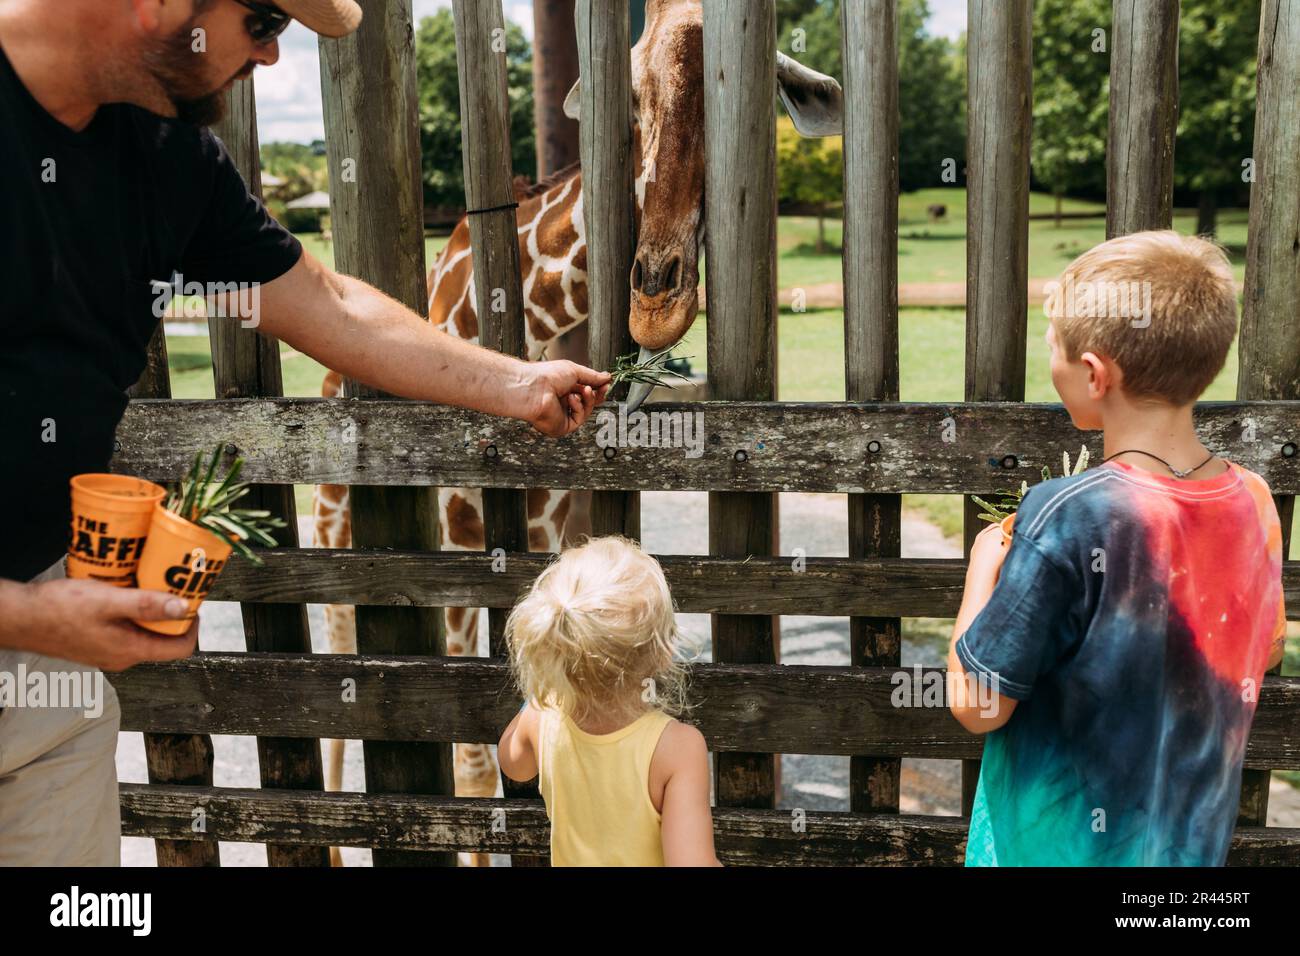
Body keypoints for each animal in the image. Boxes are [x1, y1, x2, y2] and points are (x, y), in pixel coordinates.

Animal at [312, 0, 842, 868]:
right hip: (331, 532)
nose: (655, 297)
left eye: (751, 88)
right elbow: (472, 769)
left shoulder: (551, 526)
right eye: (627, 96)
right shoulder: (458, 538)